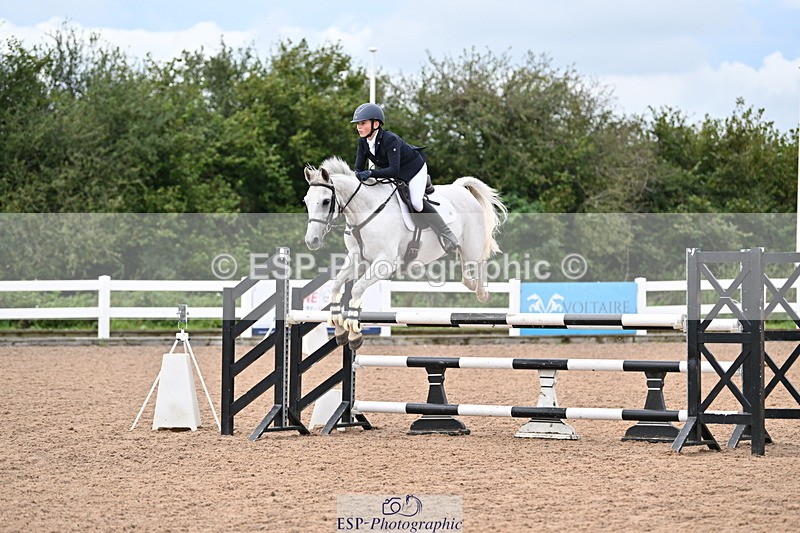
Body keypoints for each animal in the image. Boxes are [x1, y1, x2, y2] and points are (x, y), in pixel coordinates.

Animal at [303, 156, 507, 349]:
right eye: (306, 201)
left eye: (326, 202)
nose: (311, 241)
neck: (366, 212)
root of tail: (461, 189)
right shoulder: (357, 259)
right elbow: (337, 285)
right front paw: (339, 329)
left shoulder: (384, 263)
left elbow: (356, 288)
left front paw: (354, 334)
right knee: (467, 271)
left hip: (472, 246)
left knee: (478, 263)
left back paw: (482, 293)